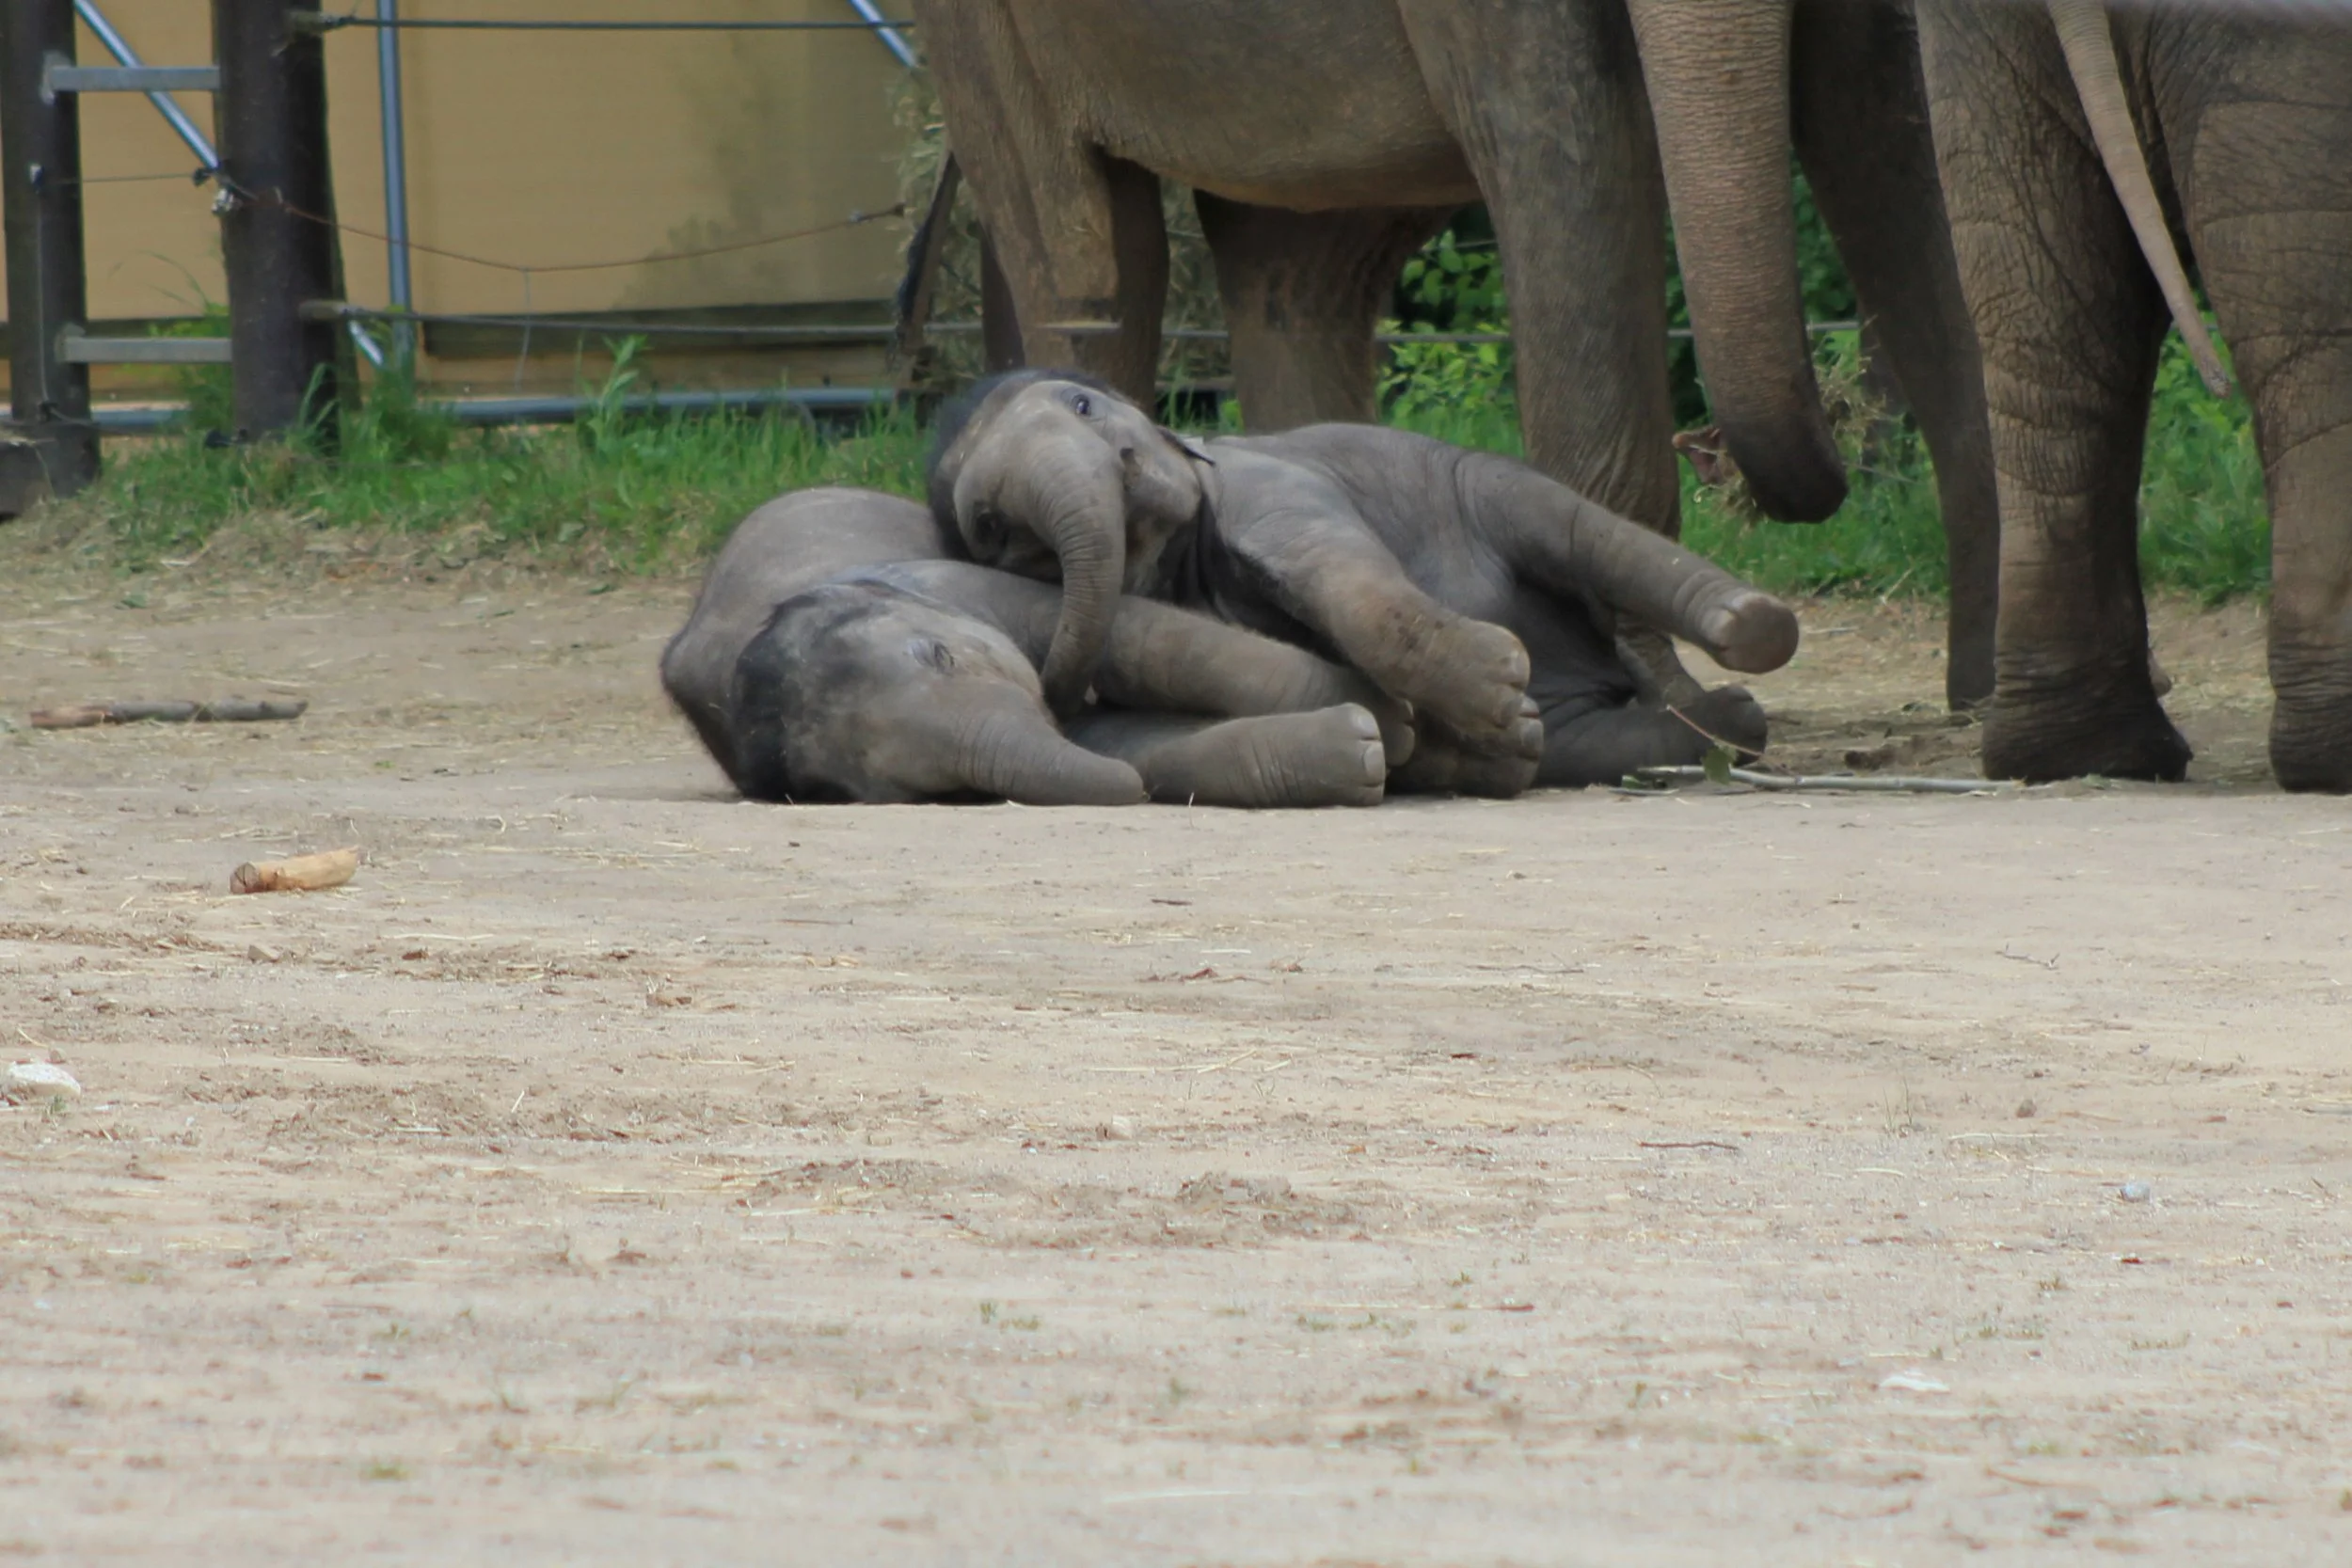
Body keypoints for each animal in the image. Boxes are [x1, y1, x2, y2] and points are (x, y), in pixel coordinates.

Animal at [660, 487, 1414, 807]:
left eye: (940, 656)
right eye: (922, 790)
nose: (1136, 796)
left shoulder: (960, 584)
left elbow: (1145, 641)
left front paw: (1396, 726)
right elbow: (1128, 742)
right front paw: (1362, 751)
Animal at [906, 0, 2003, 711]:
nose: (1726, 461)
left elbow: (1888, 127)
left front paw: (1989, 698)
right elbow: (1569, 155)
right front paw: (1663, 694)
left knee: (1300, 269)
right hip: (987, 42)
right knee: (1088, 250)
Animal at [930, 369, 1802, 792]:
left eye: (1084, 406)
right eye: (992, 527)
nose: (1062, 692)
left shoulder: (1267, 482)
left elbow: (1338, 567)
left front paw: (1491, 680)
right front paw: (1489, 719)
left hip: (1478, 479)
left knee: (1579, 534)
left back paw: (1753, 633)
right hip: (1589, 721)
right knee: (1591, 740)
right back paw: (1715, 721)